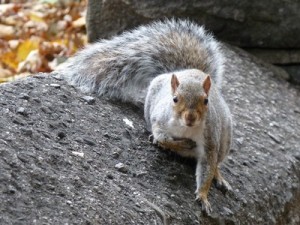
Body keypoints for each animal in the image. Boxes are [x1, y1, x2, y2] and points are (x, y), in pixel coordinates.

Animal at [58, 18, 232, 213]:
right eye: (175, 99)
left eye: (206, 101)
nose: (190, 118)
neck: (186, 129)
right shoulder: (160, 120)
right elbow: (163, 137)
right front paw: (176, 143)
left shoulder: (210, 140)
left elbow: (208, 168)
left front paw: (203, 195)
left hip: (225, 139)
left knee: (217, 162)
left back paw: (219, 177)